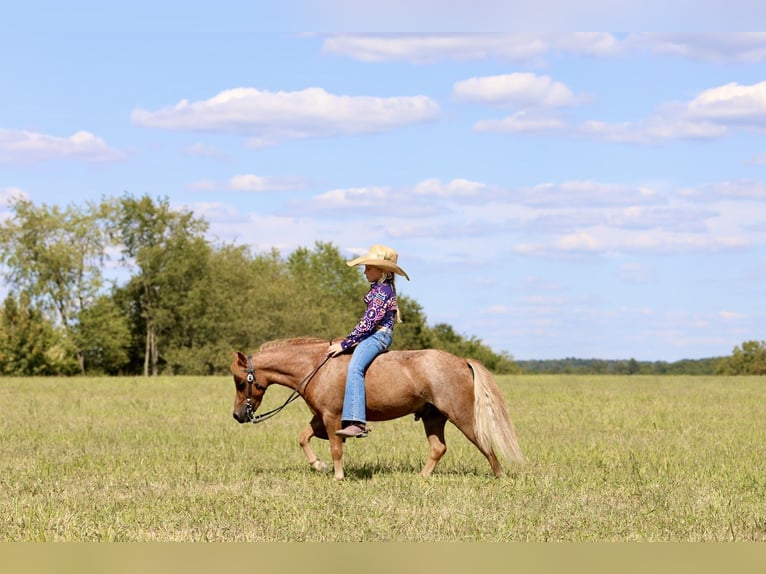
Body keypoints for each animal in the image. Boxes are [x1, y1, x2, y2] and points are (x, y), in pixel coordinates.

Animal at [229, 337, 523, 480]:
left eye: (241, 382)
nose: (237, 415)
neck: (316, 367)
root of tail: (461, 361)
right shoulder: (319, 417)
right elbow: (303, 438)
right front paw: (319, 466)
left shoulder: (332, 417)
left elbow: (336, 448)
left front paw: (337, 476)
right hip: (433, 417)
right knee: (438, 448)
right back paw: (421, 477)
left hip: (460, 416)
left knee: (484, 443)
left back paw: (499, 476)